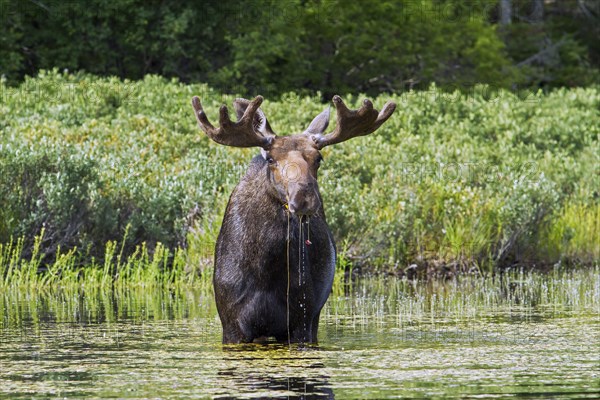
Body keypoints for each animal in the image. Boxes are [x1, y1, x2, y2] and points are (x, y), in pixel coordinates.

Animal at [191, 94, 394, 344]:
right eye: (271, 159)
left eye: (318, 158)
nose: (304, 198)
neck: (265, 268)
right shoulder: (231, 324)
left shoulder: (303, 318)